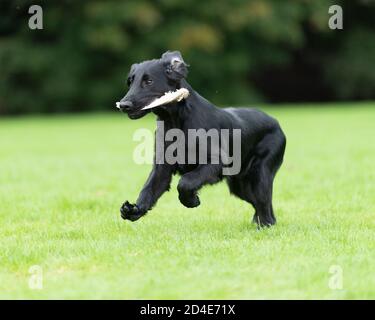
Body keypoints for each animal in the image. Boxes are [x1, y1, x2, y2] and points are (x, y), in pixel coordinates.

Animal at [119, 51, 286, 226]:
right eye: (130, 82)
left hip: (260, 176)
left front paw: (191, 201)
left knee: (264, 205)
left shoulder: (217, 162)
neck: (176, 121)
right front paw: (134, 210)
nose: (123, 105)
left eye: (149, 81)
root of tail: (275, 122)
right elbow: (148, 190)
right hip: (241, 185)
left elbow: (186, 182)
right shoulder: (162, 167)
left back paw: (264, 225)